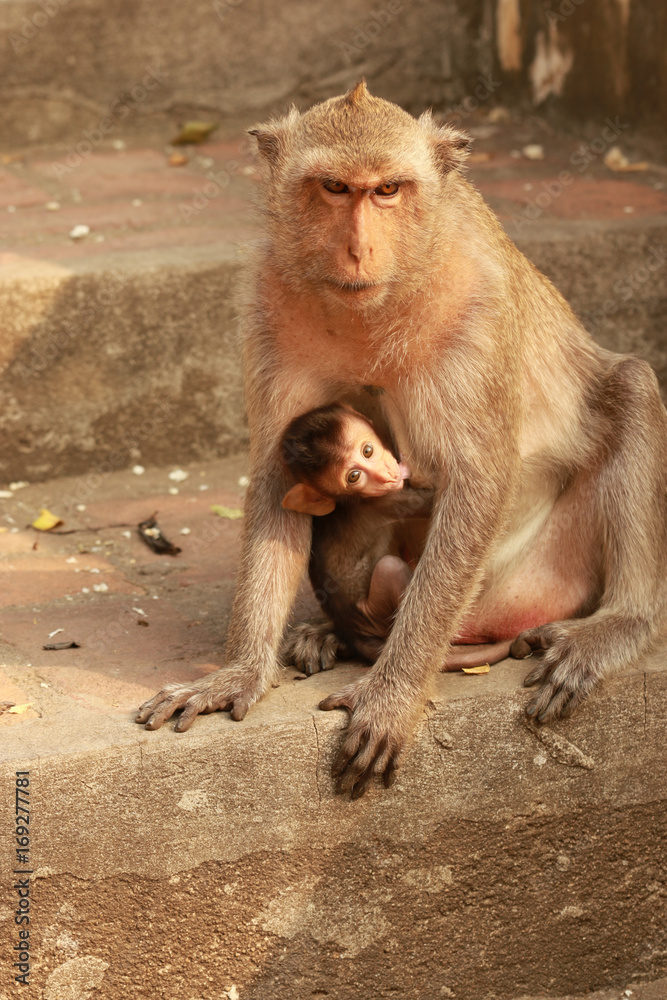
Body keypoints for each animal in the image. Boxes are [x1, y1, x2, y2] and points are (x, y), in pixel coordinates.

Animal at [137, 78, 667, 796]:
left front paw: (392, 697)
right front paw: (238, 671)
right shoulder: (268, 304)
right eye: (334, 188)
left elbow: (477, 482)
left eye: (387, 189)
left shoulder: (476, 306)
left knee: (632, 386)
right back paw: (327, 633)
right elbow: (278, 476)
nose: (358, 249)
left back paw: (614, 625)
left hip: (542, 575)